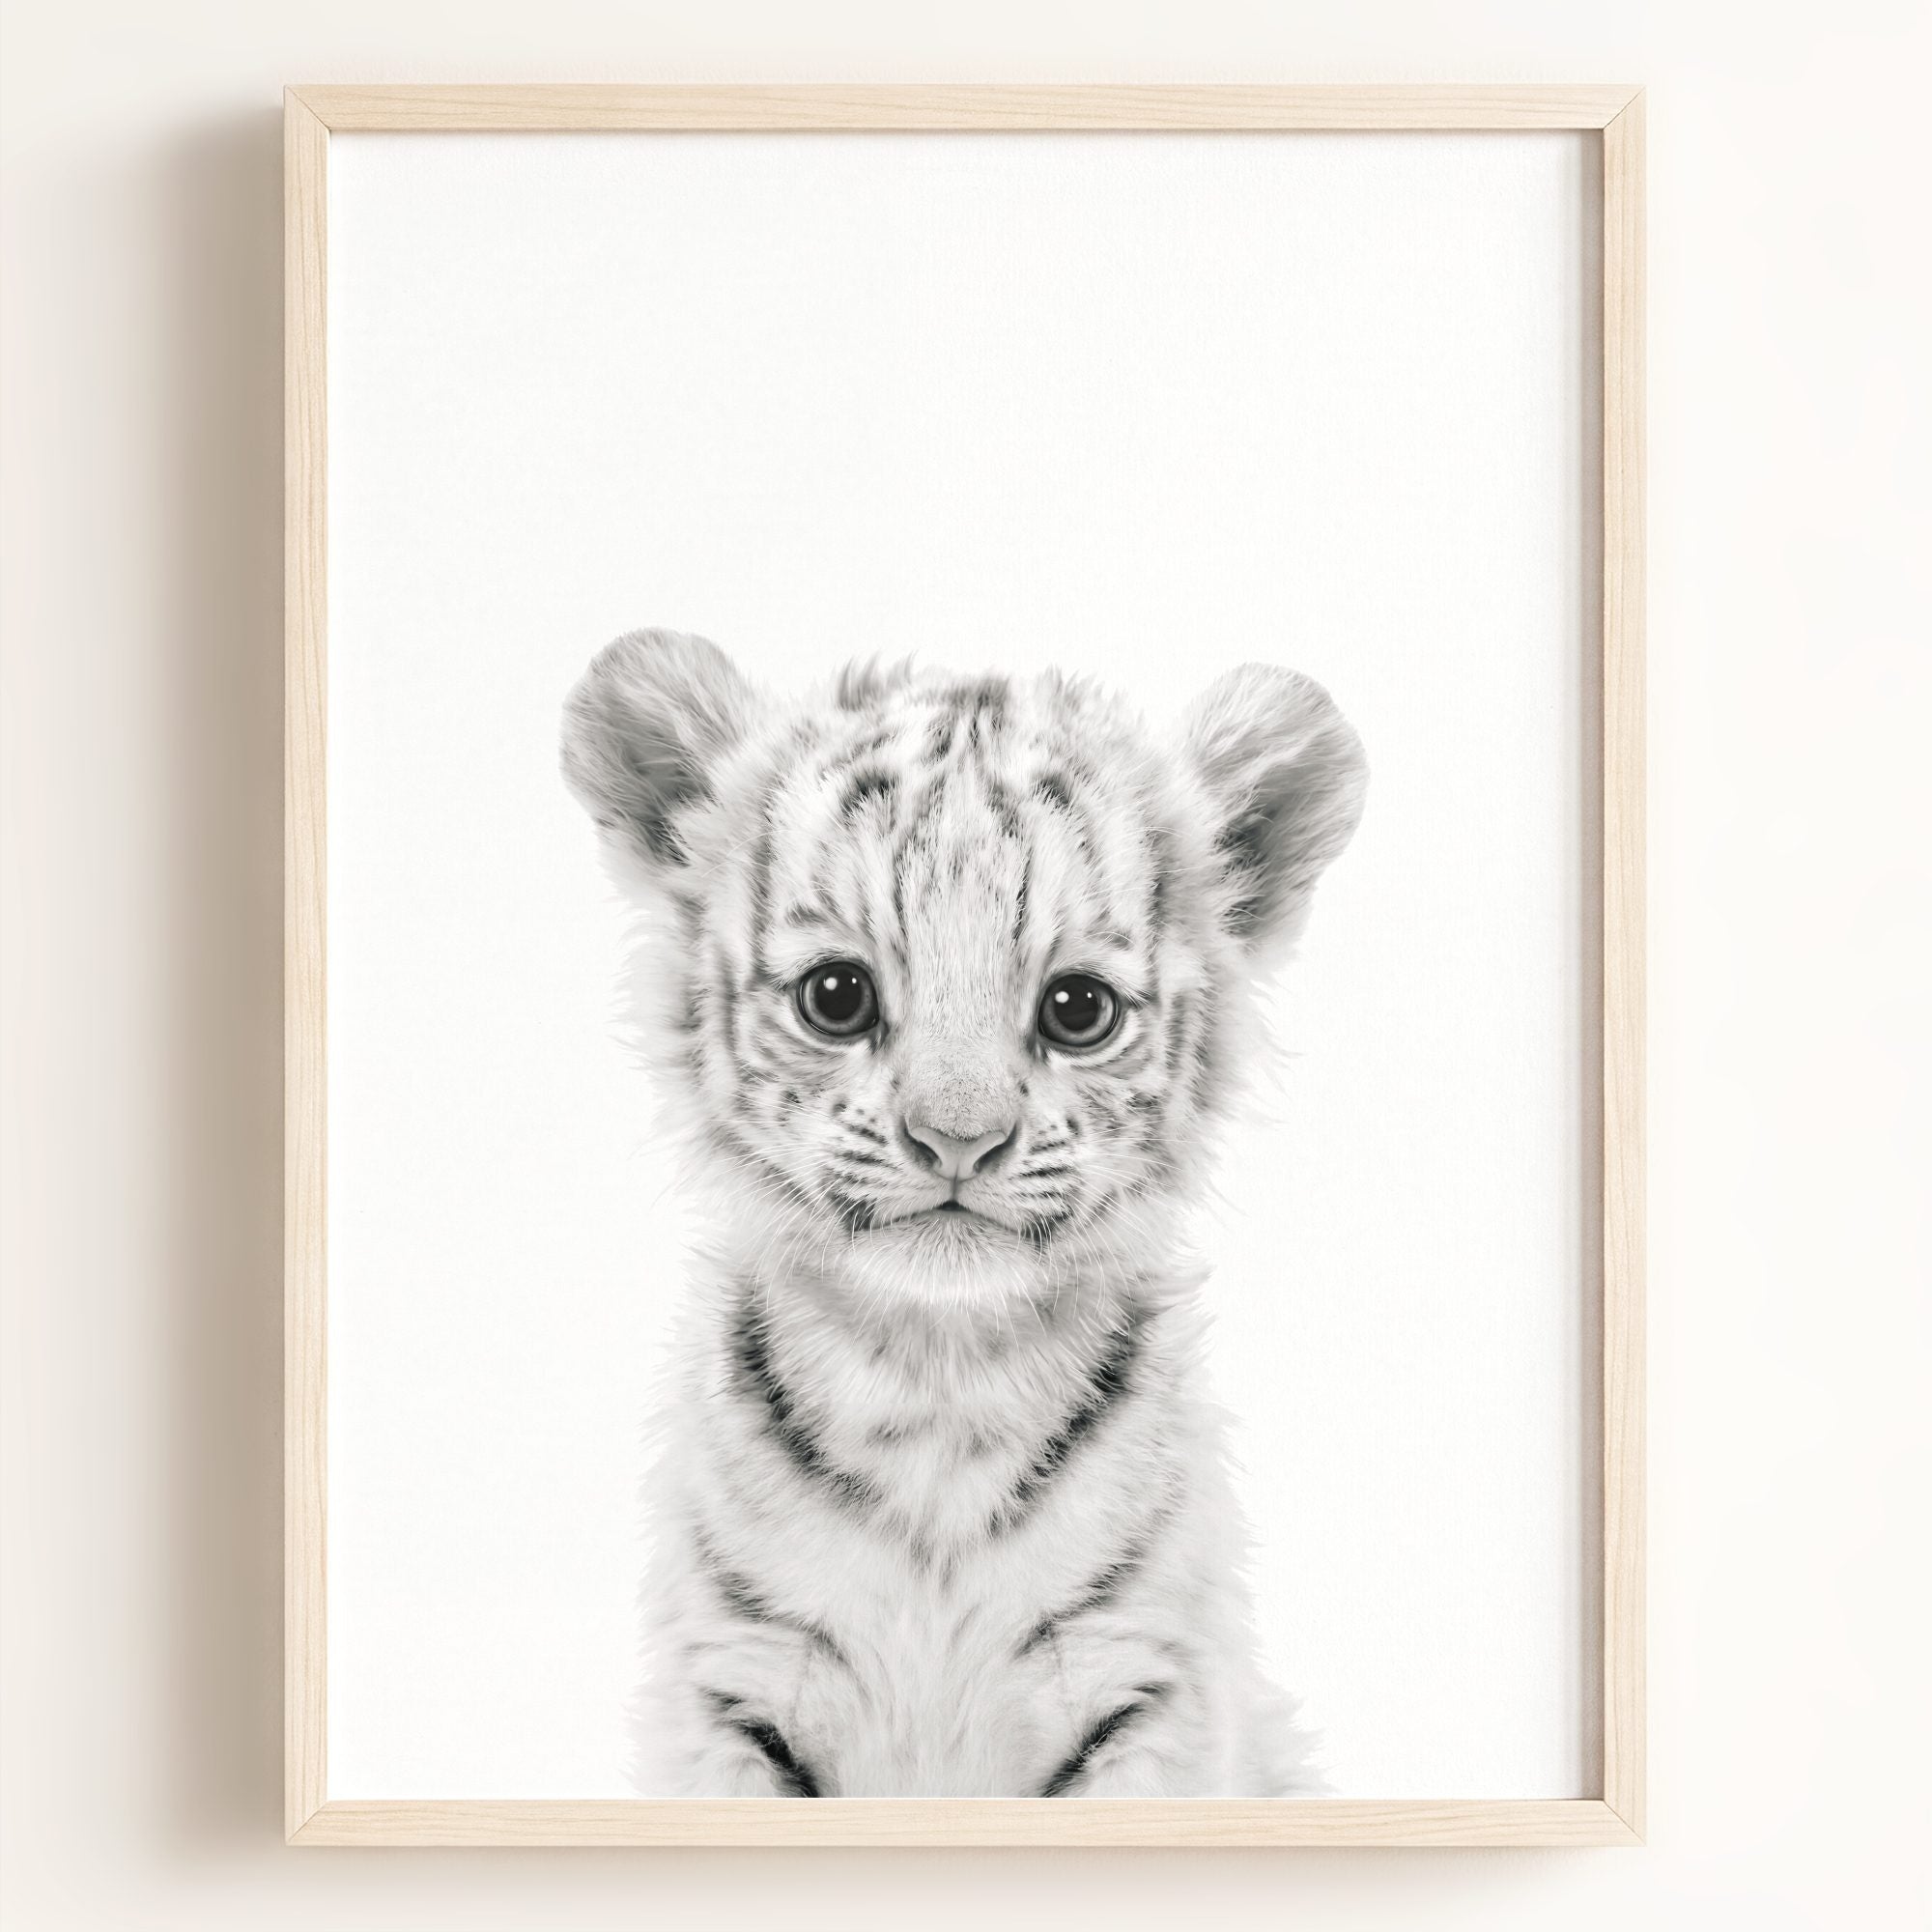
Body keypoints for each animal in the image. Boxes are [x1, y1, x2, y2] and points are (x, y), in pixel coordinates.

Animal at [561, 628, 1367, 1798]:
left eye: (1077, 1009)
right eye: (836, 995)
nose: (956, 1139)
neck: (935, 1386)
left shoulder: (1143, 1685)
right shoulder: (733, 1686)